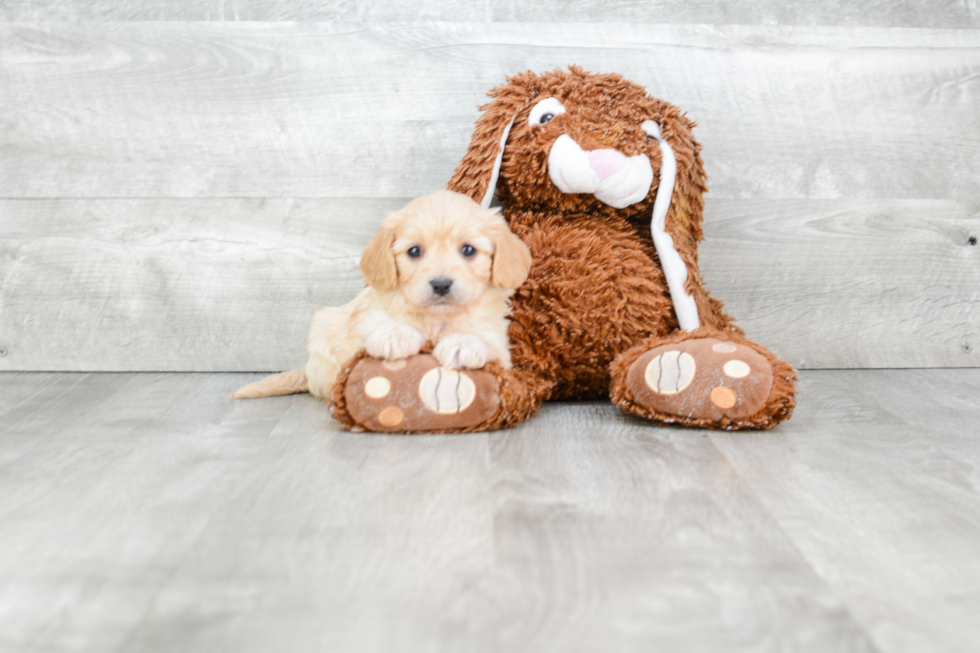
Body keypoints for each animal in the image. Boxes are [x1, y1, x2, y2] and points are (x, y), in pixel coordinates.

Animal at [231, 191, 532, 400]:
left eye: (468, 250)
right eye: (414, 251)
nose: (441, 284)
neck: (436, 318)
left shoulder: (499, 346)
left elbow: (482, 339)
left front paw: (462, 343)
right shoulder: (366, 320)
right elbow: (377, 325)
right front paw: (395, 335)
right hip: (322, 333)